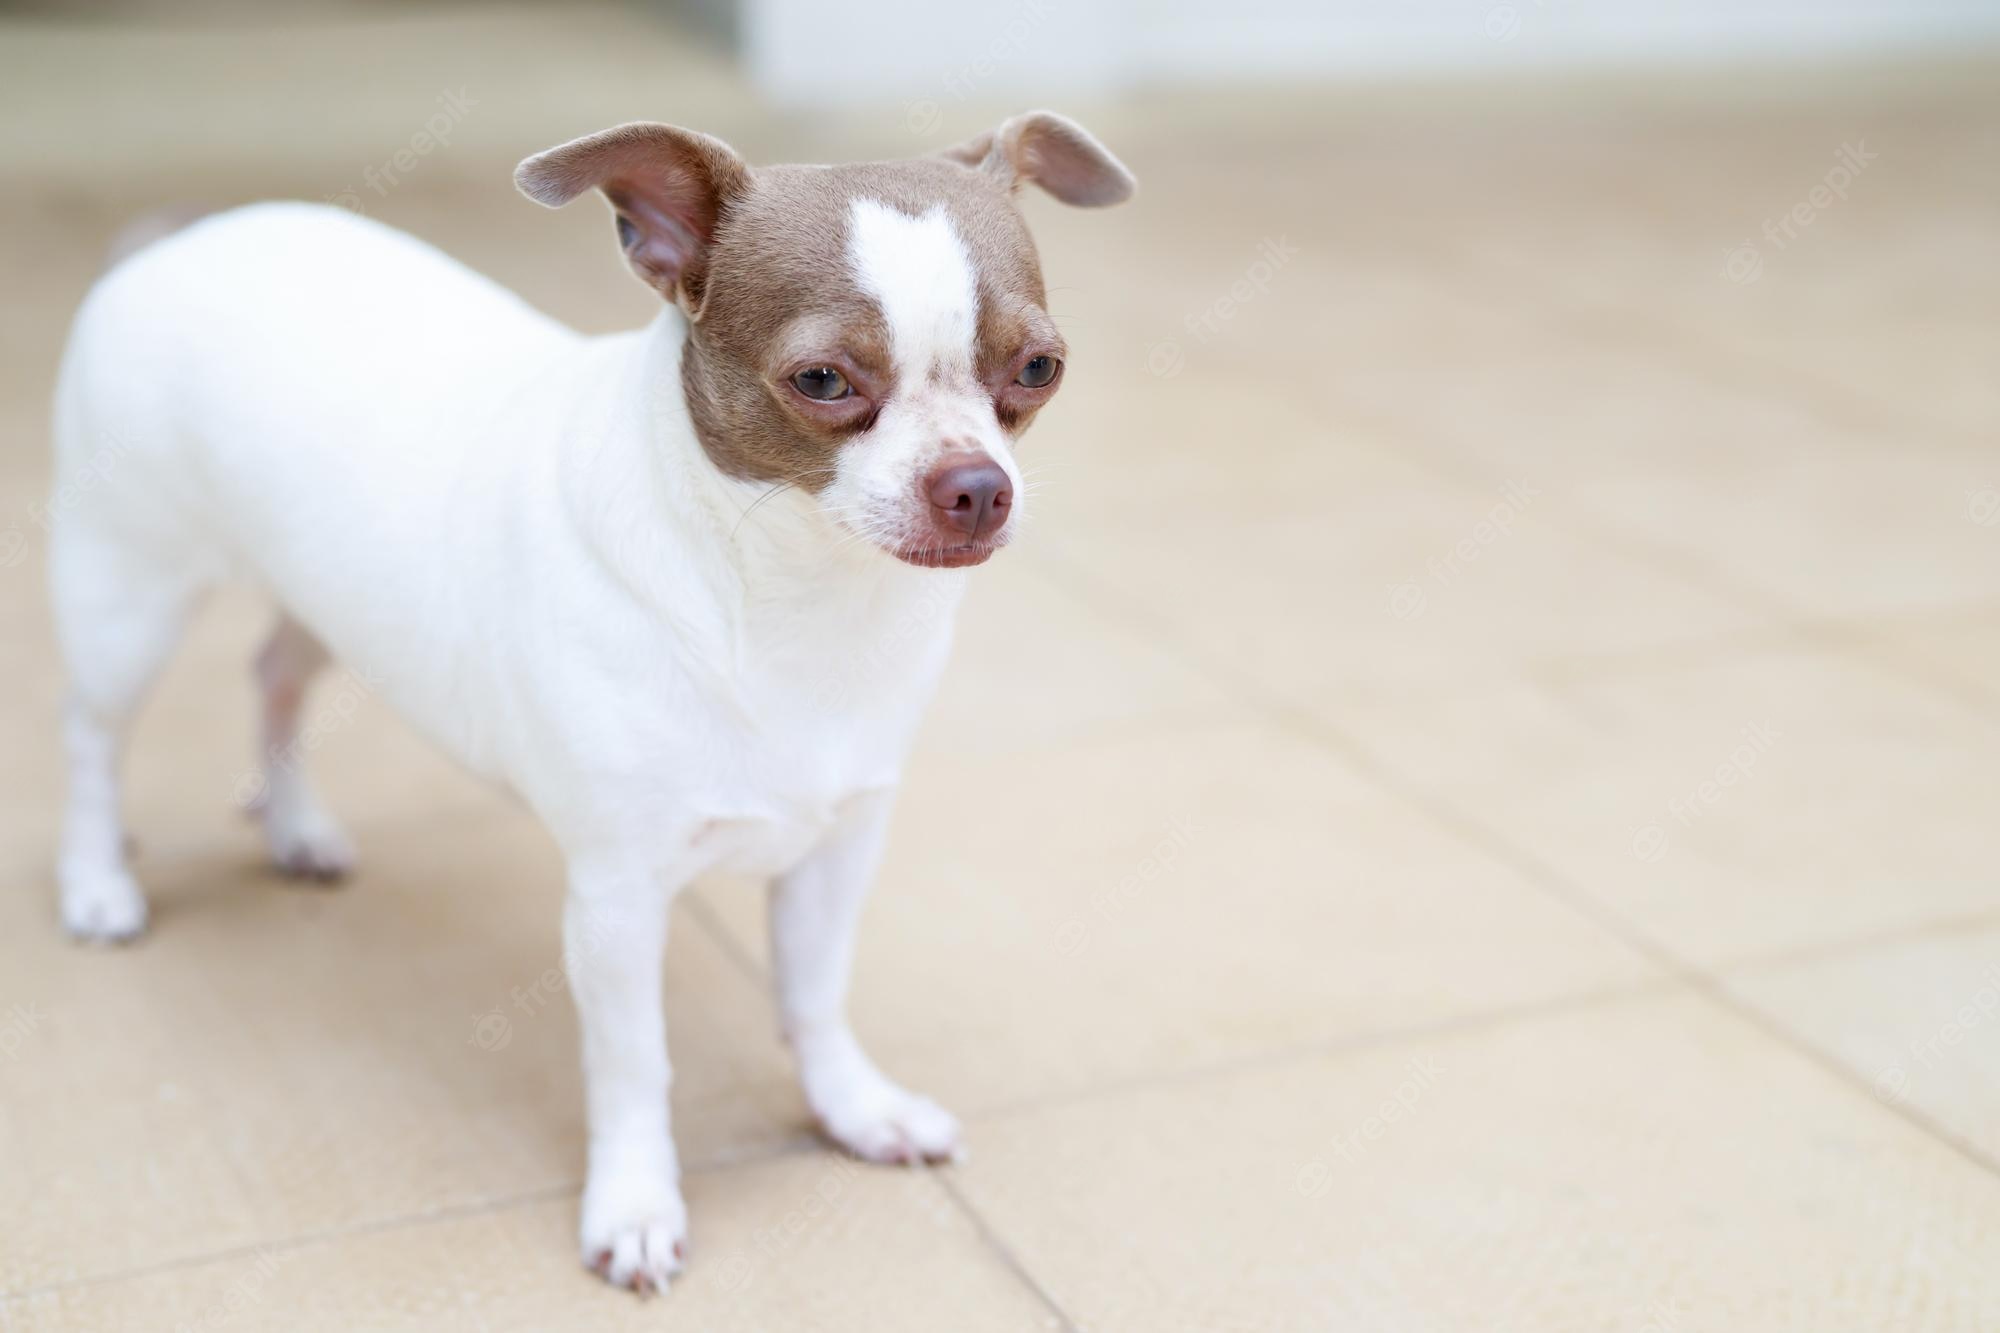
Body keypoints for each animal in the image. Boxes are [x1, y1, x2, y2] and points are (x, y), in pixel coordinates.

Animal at [47, 111, 1136, 1288]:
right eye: (822, 380)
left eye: (1038, 368)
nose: (977, 485)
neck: (795, 600)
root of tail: (180, 236)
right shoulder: (618, 898)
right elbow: (633, 1063)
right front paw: (635, 1202)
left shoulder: (836, 847)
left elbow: (813, 996)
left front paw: (853, 1108)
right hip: (127, 599)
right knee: (93, 739)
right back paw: (97, 884)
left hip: (322, 589)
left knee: (275, 675)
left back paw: (294, 826)